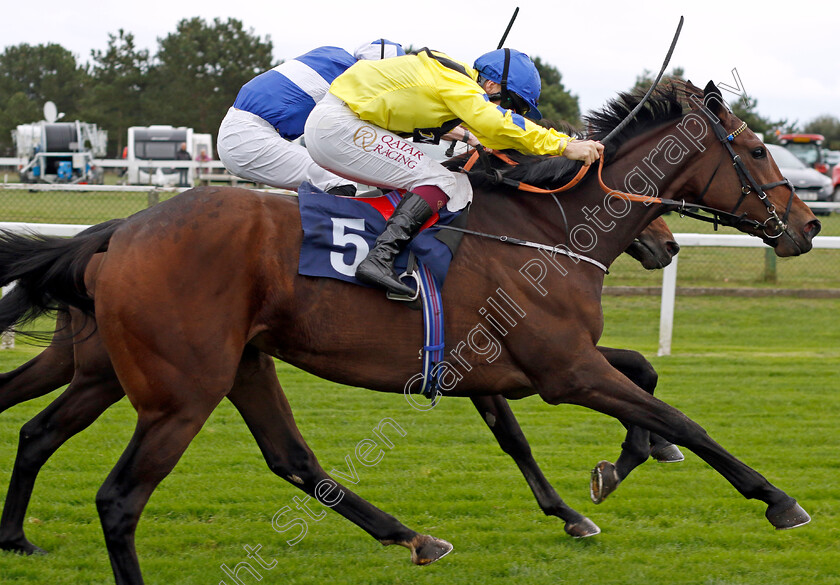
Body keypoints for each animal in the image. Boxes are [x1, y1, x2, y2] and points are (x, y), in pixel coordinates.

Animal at [0, 80, 816, 580]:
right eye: (756, 150)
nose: (808, 225)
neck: (546, 231)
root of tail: (119, 233)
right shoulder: (563, 370)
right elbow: (677, 412)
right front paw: (774, 497)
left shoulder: (520, 366)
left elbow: (630, 382)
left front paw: (615, 470)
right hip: (180, 389)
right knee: (119, 498)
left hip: (205, 367)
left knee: (285, 457)